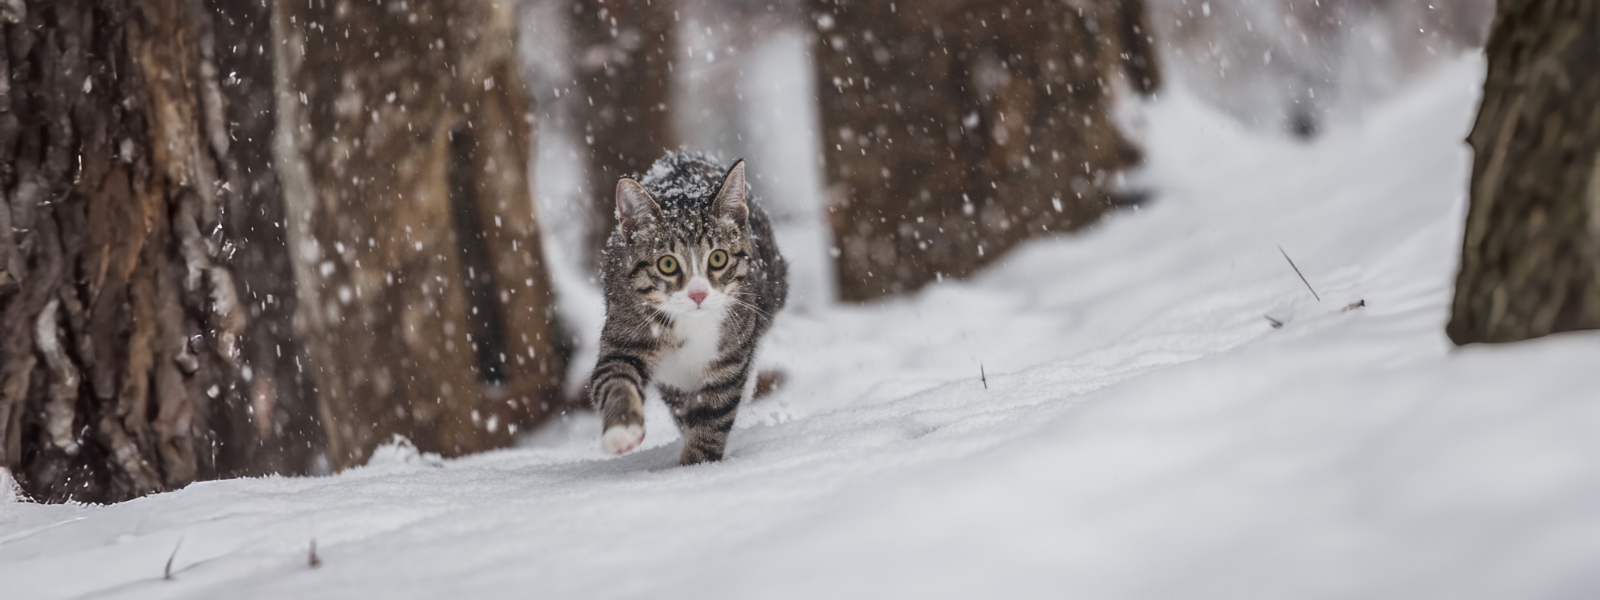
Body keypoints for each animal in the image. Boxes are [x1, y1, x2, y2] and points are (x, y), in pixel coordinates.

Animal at [588, 151, 787, 464]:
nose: (698, 294)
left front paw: (696, 465)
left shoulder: (730, 352)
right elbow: (614, 376)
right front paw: (622, 431)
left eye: (718, 258)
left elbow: (715, 412)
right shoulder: (624, 328)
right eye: (667, 264)